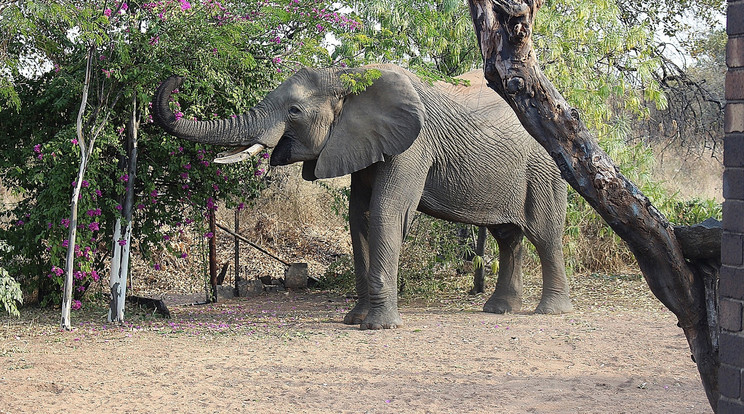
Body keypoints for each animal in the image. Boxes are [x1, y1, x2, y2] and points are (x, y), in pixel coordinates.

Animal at [154, 64, 572, 330]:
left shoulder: (413, 144)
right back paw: (499, 311)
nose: (178, 78)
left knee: (544, 234)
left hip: (546, 167)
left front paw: (378, 327)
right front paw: (354, 319)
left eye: (294, 111)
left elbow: (386, 213)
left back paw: (549, 312)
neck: (346, 77)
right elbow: (360, 218)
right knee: (508, 236)